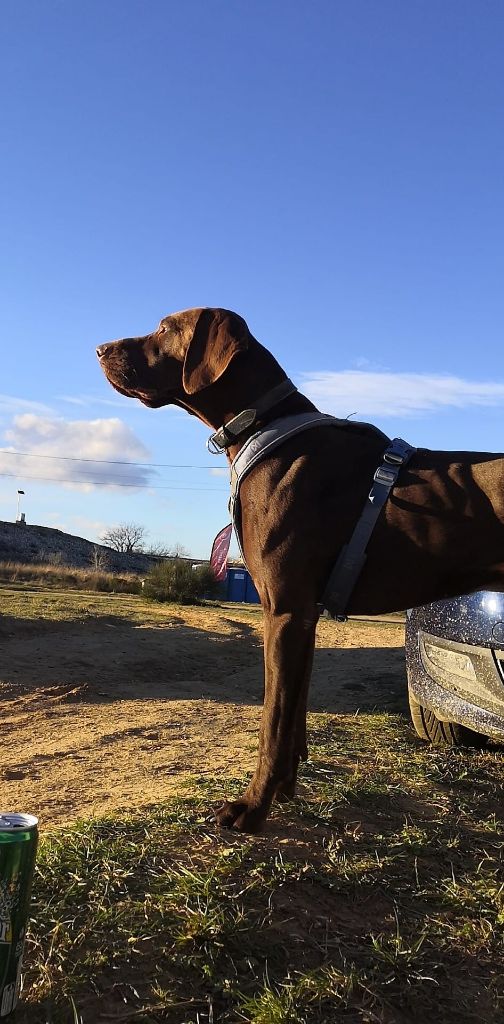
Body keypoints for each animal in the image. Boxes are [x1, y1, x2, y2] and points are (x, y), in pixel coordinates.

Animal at [97, 305, 504, 831]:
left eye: (166, 328)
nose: (99, 349)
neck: (261, 424)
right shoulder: (303, 615)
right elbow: (293, 716)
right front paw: (285, 790)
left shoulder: (285, 611)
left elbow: (272, 720)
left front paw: (252, 808)